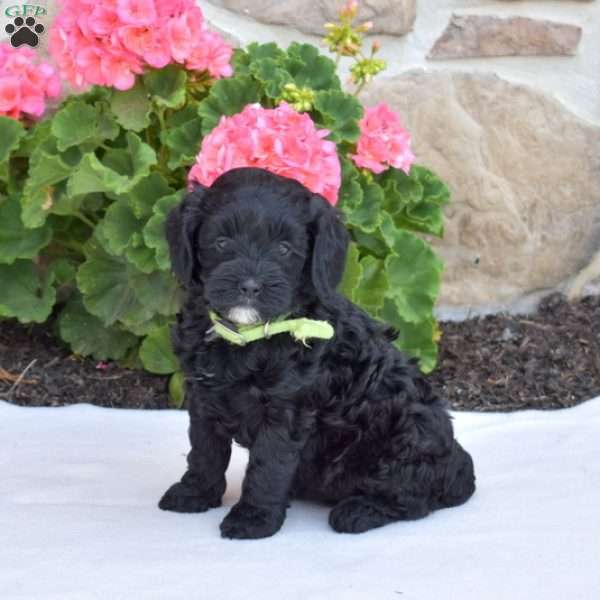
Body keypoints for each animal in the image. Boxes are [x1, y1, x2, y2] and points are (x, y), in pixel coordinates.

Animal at [159, 168, 474, 540]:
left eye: (284, 248)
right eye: (221, 242)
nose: (250, 286)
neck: (247, 337)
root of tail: (457, 465)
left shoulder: (286, 412)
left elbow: (267, 466)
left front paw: (253, 518)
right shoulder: (204, 396)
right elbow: (205, 450)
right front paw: (194, 493)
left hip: (408, 433)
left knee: (412, 499)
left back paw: (358, 512)